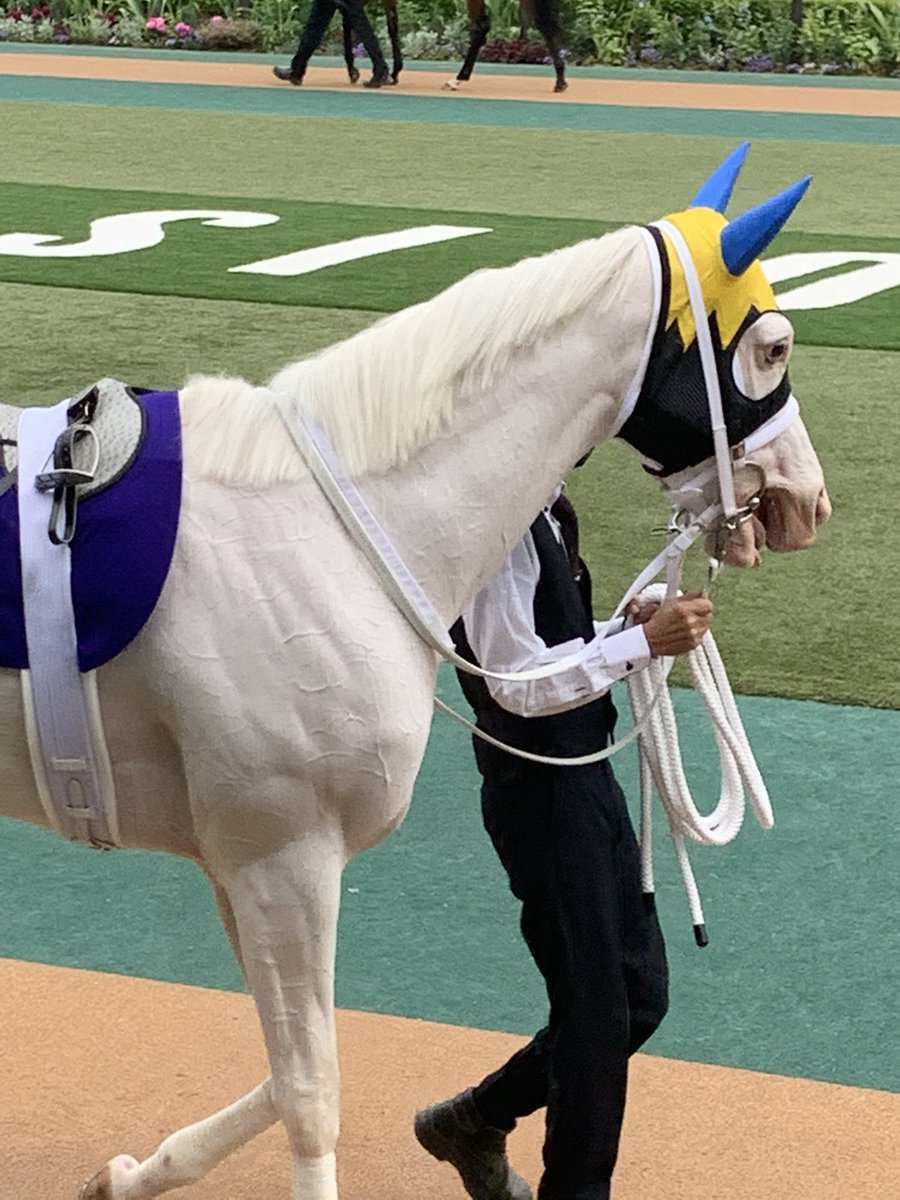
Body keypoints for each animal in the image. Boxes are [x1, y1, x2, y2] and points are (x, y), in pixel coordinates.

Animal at [0, 147, 830, 1200]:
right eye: (773, 345)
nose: (810, 499)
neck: (333, 524)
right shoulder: (286, 855)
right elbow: (310, 1092)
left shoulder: (235, 854)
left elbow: (281, 1070)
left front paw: (132, 1173)